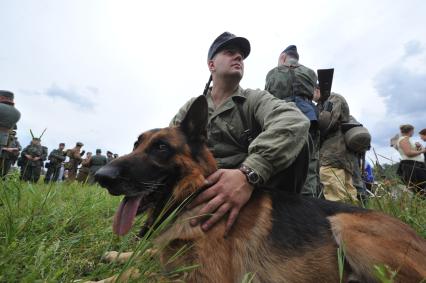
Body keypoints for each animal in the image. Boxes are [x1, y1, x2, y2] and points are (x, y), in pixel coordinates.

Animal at [95, 96, 426, 282]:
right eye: (136, 145)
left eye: (161, 148)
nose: (101, 176)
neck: (194, 197)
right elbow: (148, 255)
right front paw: (116, 254)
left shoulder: (206, 278)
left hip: (346, 226)